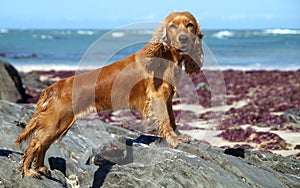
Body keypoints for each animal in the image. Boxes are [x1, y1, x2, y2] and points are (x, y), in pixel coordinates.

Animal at [15, 11, 204, 178]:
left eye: (190, 25)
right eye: (172, 26)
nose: (183, 38)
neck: (166, 57)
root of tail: (54, 86)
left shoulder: (167, 97)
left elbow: (172, 118)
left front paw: (179, 135)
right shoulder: (158, 97)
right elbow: (166, 120)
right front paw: (174, 139)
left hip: (58, 125)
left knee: (42, 145)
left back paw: (40, 168)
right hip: (56, 123)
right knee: (35, 143)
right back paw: (28, 171)